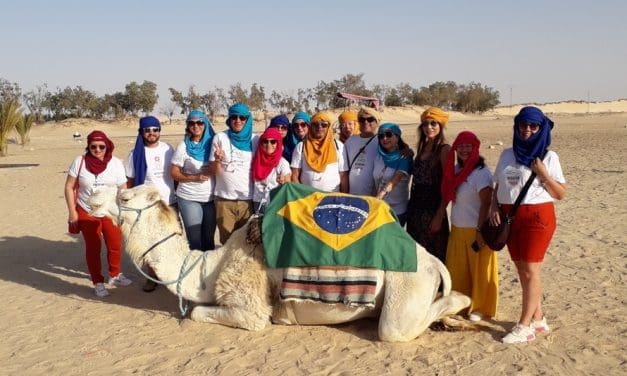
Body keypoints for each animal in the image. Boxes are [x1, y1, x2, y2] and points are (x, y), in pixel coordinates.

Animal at [88, 185, 472, 340]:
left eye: (125, 196)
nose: (91, 196)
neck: (208, 270)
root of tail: (431, 261)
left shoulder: (250, 308)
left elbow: (197, 313)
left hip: (407, 285)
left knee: (400, 325)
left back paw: (464, 313)